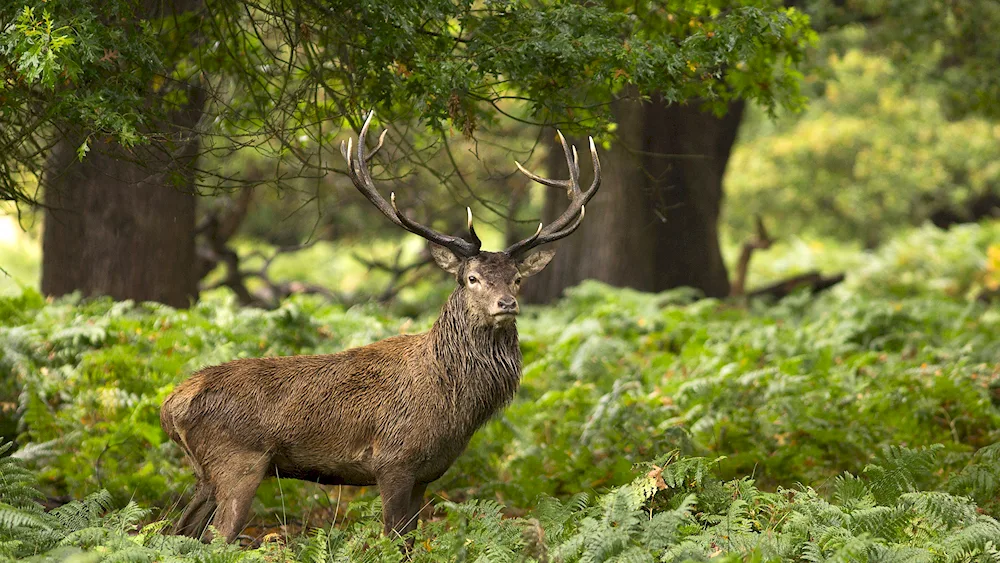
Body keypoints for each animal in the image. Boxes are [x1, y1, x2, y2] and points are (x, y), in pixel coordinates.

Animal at [159, 112, 600, 544]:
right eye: (472, 278)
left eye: (517, 278)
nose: (507, 304)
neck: (455, 404)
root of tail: (170, 404)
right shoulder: (393, 462)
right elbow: (391, 538)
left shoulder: (426, 474)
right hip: (239, 462)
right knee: (218, 537)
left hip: (208, 473)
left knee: (179, 532)